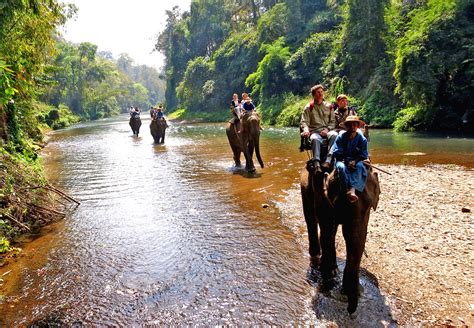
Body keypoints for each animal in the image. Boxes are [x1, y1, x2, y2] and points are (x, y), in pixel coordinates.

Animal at [300, 163, 382, 312]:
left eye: (369, 204)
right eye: (339, 202)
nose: (350, 310)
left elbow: (358, 236)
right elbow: (327, 229)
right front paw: (330, 279)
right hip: (304, 188)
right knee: (311, 220)